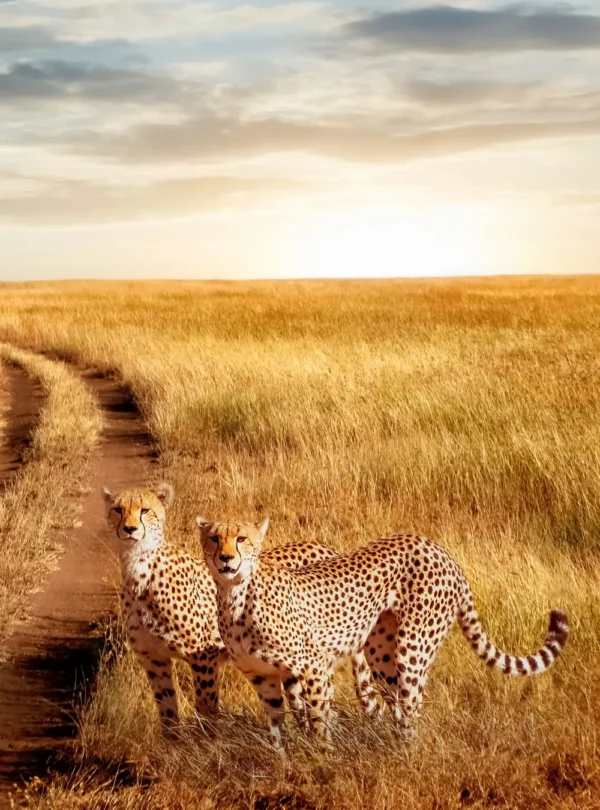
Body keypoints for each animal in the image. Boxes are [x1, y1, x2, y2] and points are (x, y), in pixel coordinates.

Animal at [101, 482, 378, 728]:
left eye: (144, 510)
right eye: (118, 509)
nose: (129, 529)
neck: (139, 569)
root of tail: (323, 547)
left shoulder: (203, 656)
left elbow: (206, 709)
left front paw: (207, 744)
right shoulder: (153, 660)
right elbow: (167, 716)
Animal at [197, 516, 568, 744]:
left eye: (242, 538)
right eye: (214, 538)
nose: (226, 559)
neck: (235, 596)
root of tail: (438, 549)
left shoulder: (314, 666)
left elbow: (318, 720)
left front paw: (321, 762)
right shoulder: (263, 677)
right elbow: (277, 729)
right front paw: (285, 763)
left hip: (413, 647)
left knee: (412, 705)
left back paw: (407, 755)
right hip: (379, 653)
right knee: (396, 702)